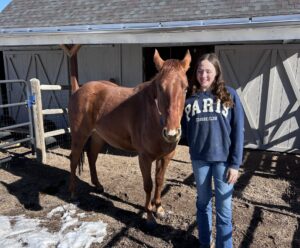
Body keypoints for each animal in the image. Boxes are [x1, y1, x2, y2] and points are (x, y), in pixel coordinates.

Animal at [68, 49, 190, 226]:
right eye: (160, 88)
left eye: (186, 88)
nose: (171, 134)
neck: (153, 117)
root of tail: (78, 90)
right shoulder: (144, 158)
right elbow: (148, 184)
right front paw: (149, 215)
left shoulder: (166, 156)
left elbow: (160, 181)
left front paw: (159, 208)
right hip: (79, 136)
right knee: (74, 159)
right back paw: (73, 194)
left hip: (98, 136)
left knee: (92, 157)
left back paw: (98, 185)